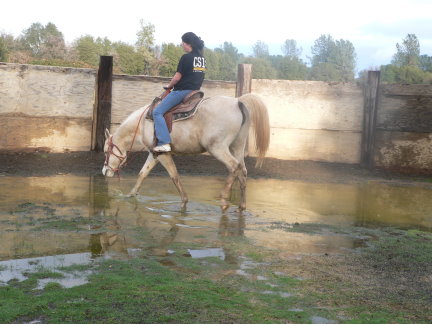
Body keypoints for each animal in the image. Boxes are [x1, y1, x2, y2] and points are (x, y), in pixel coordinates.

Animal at [102, 93, 268, 210]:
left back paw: (223, 199)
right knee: (242, 171)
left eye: (105, 151)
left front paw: (184, 202)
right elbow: (142, 174)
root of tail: (237, 102)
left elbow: (174, 176)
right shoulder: (154, 153)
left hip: (217, 148)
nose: (104, 171)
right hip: (237, 146)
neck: (143, 124)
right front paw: (130, 195)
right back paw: (242, 206)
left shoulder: (164, 154)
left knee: (234, 166)